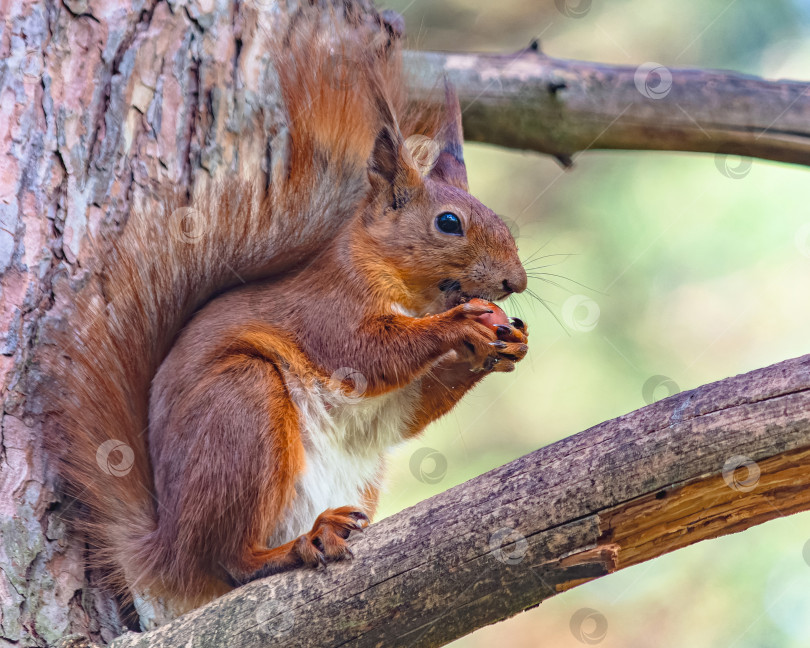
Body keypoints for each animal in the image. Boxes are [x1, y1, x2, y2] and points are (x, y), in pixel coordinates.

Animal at [45, 7, 524, 620]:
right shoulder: (327, 307)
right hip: (242, 409)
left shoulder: (395, 401)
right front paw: (459, 325)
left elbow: (412, 405)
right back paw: (302, 543)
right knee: (232, 561)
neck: (409, 295)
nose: (517, 282)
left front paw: (504, 344)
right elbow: (367, 354)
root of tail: (168, 552)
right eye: (448, 223)